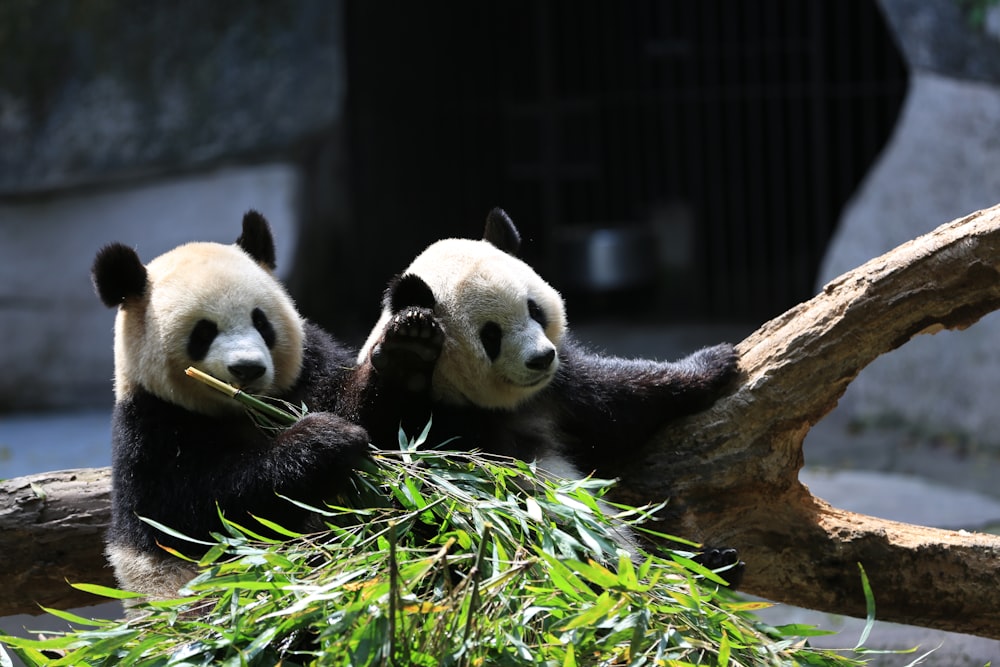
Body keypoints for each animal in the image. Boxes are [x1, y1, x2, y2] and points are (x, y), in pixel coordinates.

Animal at [92, 211, 368, 604]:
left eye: (261, 321)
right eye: (203, 332)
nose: (247, 368)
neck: (243, 409)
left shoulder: (309, 371)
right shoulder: (150, 430)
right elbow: (207, 511)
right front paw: (323, 439)